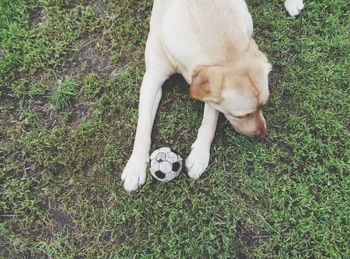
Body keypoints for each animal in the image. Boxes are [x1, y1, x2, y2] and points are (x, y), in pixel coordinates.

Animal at [121, 0, 304, 192]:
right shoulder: (153, 77)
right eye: (242, 115)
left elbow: (210, 120)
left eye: (264, 105)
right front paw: (135, 167)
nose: (263, 133)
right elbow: (143, 126)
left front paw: (199, 155)